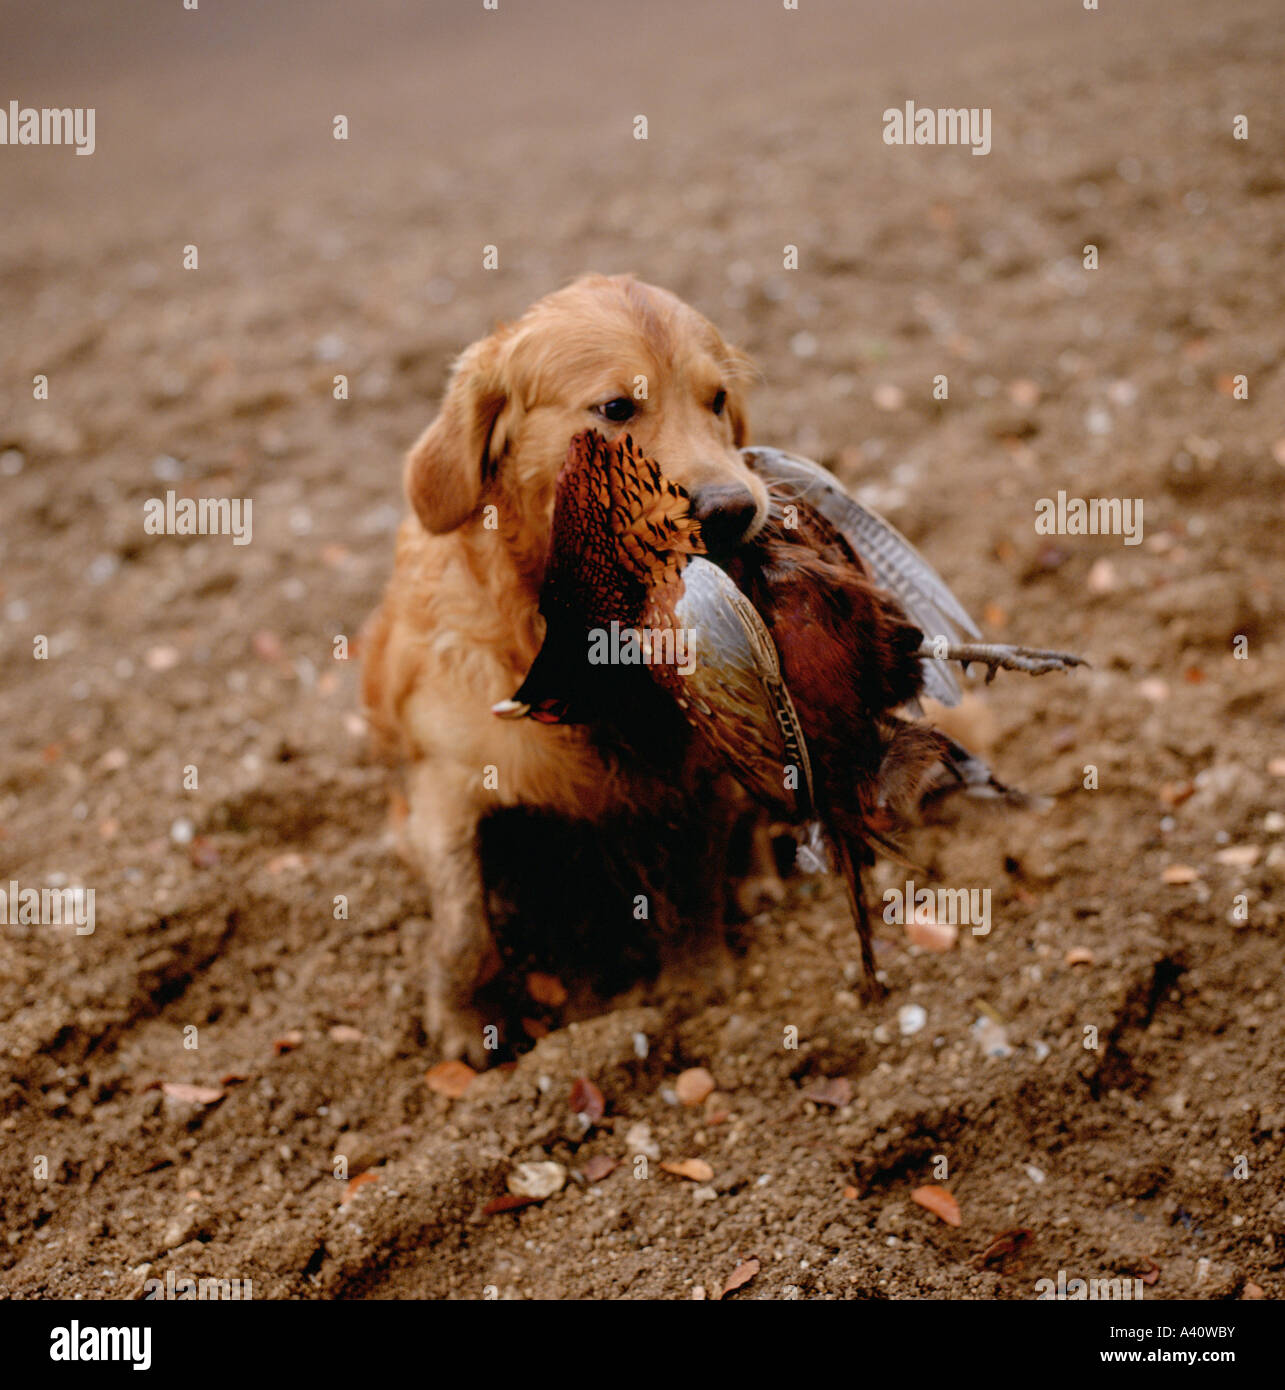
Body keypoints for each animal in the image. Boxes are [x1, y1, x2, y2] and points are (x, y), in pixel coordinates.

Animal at [364, 271, 784, 1056]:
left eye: (717, 400)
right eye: (616, 408)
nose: (732, 510)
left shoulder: (702, 773)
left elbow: (696, 876)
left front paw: (697, 981)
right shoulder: (446, 784)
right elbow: (464, 930)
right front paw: (466, 1026)